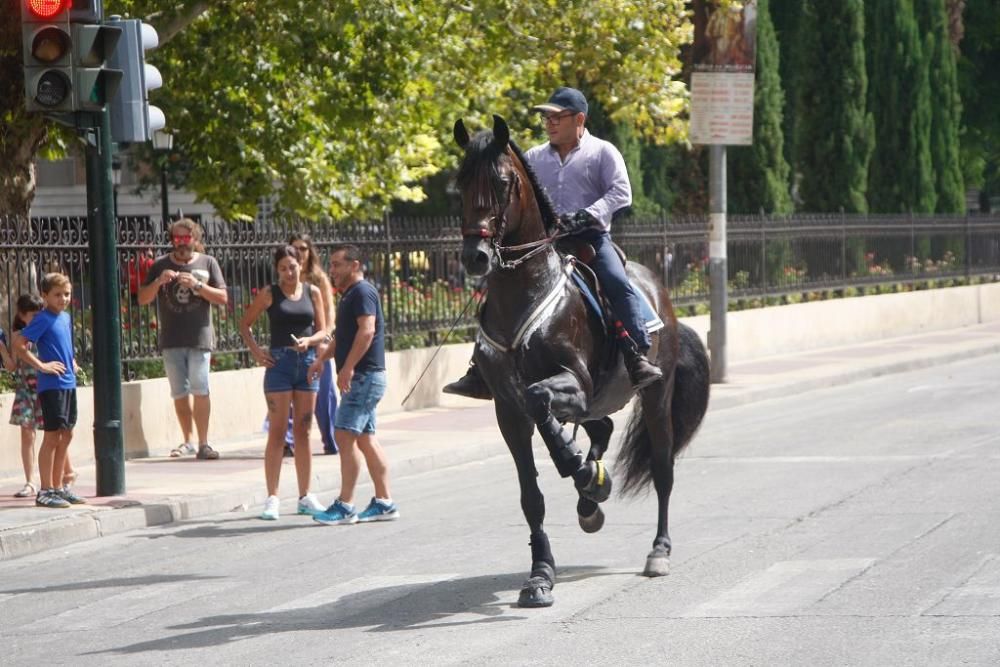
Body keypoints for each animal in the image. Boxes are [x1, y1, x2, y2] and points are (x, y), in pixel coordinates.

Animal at [454, 116, 712, 612]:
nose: (475, 256)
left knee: (663, 471)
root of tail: (661, 295)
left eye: (502, 182)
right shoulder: (507, 410)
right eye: (459, 183)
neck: (525, 293)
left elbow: (541, 400)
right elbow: (531, 496)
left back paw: (657, 549)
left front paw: (584, 473)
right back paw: (589, 497)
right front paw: (540, 576)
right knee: (602, 428)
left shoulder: (571, 382)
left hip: (655, 396)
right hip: (599, 400)